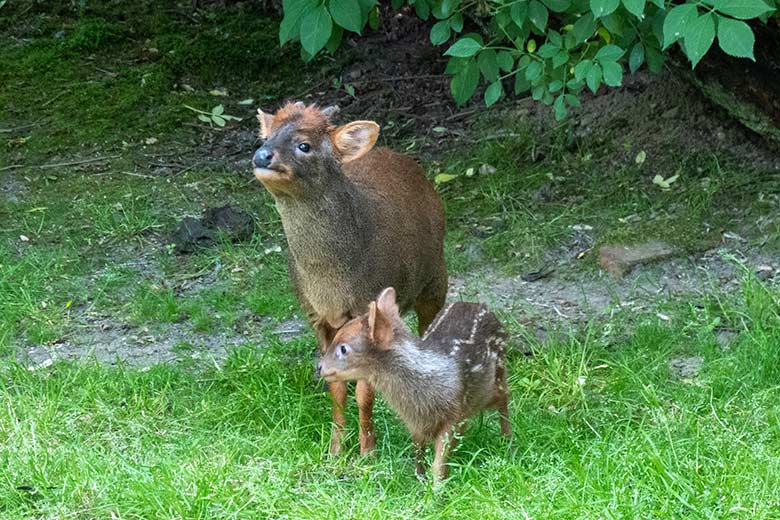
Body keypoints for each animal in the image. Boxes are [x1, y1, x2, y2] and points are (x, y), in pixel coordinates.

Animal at [250, 102, 444, 456]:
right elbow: (335, 385)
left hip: (437, 277)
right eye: (266, 137)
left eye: (304, 145)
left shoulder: (366, 308)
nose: (262, 155)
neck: (331, 284)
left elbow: (364, 391)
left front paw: (368, 451)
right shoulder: (316, 317)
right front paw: (335, 449)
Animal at [316, 286, 512, 482]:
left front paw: (437, 487)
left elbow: (439, 462)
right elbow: (418, 449)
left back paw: (507, 443)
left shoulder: (455, 416)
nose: (319, 367)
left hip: (497, 378)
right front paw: (420, 478)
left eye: (343, 348)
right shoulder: (415, 421)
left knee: (505, 400)